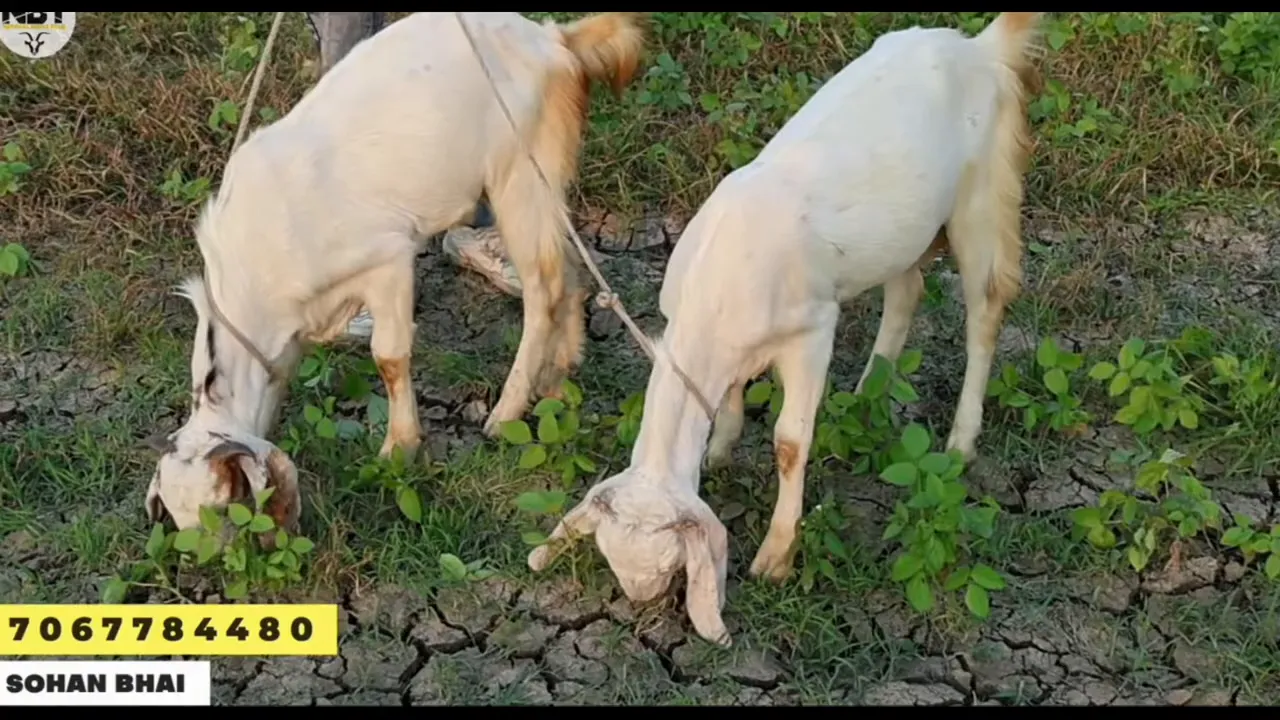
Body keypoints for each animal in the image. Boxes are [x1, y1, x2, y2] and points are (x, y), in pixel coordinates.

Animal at [144, 12, 646, 533]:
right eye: (180, 520)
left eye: (228, 501)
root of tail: (553, 39)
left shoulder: (387, 259)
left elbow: (388, 356)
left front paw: (399, 448)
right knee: (570, 268)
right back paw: (559, 378)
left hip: (521, 176)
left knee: (543, 286)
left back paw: (504, 414)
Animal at [527, 13, 1044, 646]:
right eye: (612, 556)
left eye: (670, 565)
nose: (643, 602)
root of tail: (977, 47)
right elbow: (728, 394)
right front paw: (721, 447)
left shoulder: (813, 332)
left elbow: (790, 442)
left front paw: (776, 556)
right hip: (904, 230)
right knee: (907, 290)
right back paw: (868, 396)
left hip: (983, 193)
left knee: (985, 310)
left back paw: (961, 439)